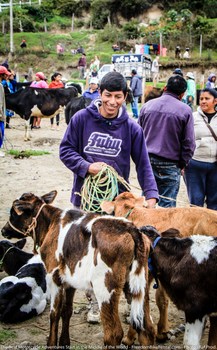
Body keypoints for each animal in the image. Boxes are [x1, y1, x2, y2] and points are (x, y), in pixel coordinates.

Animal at [0, 190, 155, 348]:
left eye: (13, 212)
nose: (4, 230)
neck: (51, 223)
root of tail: (131, 228)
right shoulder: (69, 280)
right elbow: (66, 311)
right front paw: (64, 342)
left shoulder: (54, 277)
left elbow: (54, 314)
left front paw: (52, 343)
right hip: (138, 286)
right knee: (147, 328)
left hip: (105, 289)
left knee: (113, 334)